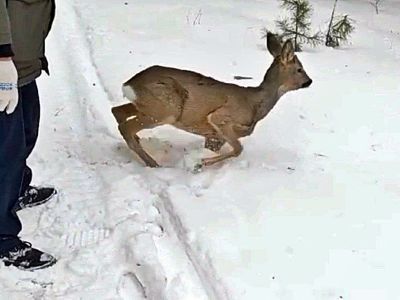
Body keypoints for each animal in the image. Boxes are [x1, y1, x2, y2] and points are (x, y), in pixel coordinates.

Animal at [111, 34, 312, 168]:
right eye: (300, 69)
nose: (309, 81)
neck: (256, 104)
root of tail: (129, 83)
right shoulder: (221, 118)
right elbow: (238, 149)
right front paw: (200, 163)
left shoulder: (214, 136)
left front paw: (201, 161)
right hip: (166, 109)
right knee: (125, 125)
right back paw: (153, 163)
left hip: (149, 106)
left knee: (117, 111)